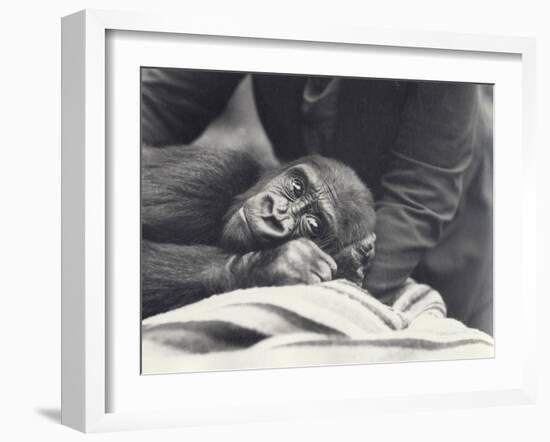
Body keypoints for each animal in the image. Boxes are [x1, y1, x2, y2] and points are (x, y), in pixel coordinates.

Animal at [142, 147, 378, 320]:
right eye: (297, 187)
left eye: (314, 225)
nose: (274, 215)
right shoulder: (205, 173)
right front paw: (273, 264)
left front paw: (349, 262)